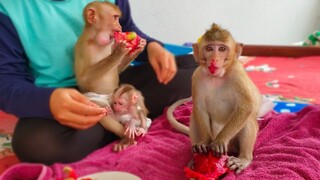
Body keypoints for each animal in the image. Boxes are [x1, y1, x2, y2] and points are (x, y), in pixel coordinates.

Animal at [168, 23, 262, 174]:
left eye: (222, 49)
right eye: (209, 48)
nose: (214, 59)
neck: (216, 78)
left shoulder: (238, 74)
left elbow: (246, 106)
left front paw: (220, 141)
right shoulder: (197, 77)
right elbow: (199, 107)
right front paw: (204, 143)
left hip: (232, 144)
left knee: (247, 119)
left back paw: (243, 159)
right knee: (195, 116)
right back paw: (196, 155)